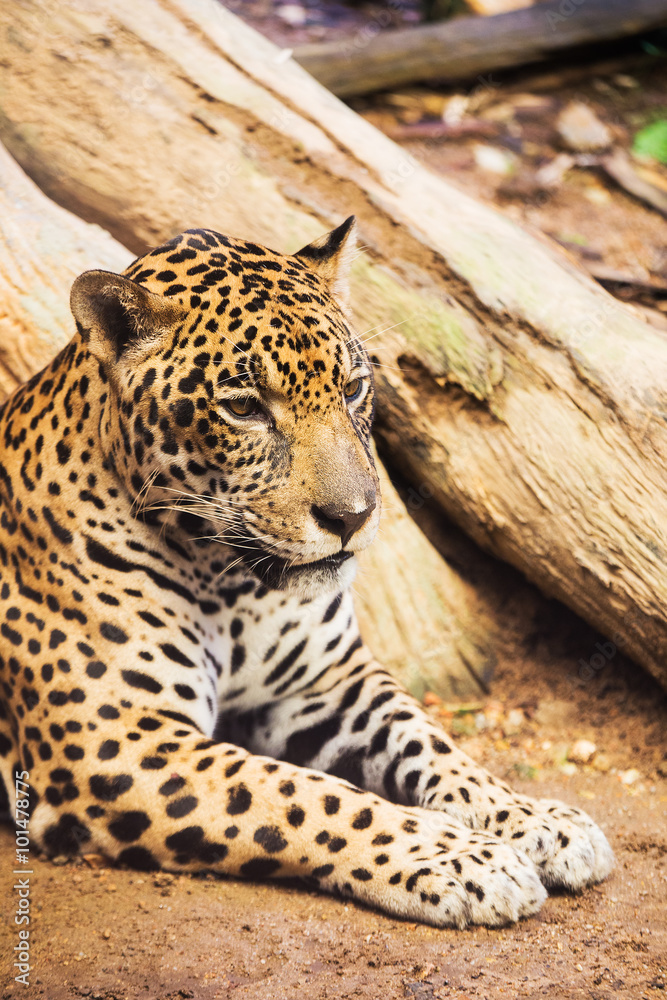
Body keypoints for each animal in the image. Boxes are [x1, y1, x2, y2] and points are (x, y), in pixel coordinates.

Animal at [0, 217, 613, 928]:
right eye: (243, 407)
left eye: (353, 388)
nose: (353, 516)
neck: (226, 581)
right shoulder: (117, 741)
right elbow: (306, 794)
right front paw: (466, 858)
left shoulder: (326, 682)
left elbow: (431, 743)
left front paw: (537, 819)